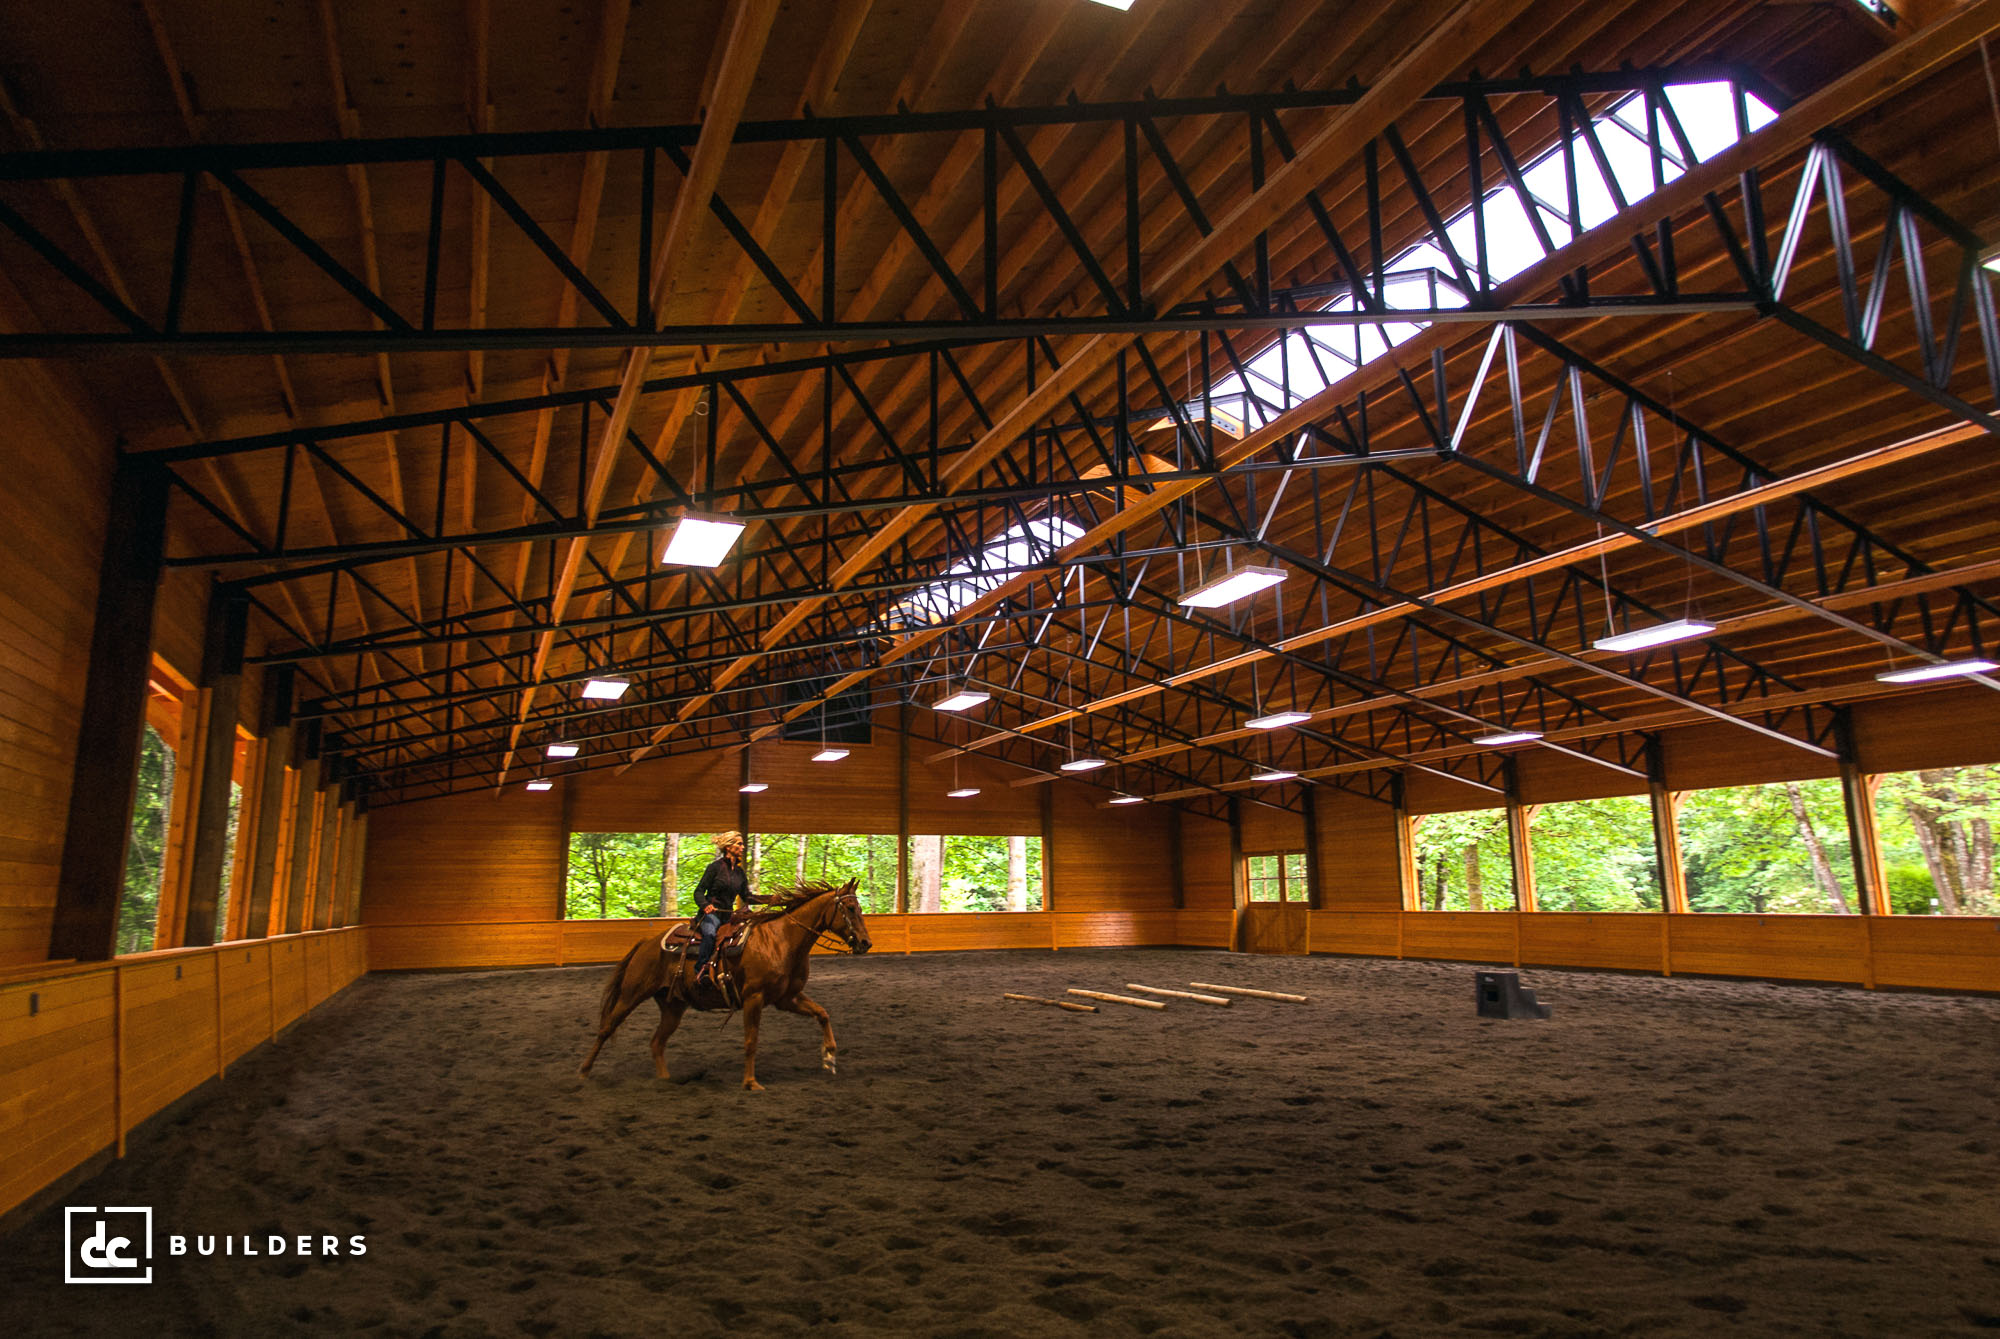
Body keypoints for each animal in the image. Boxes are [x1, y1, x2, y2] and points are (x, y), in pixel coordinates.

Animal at [572, 879, 868, 1087]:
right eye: (850, 908)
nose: (865, 943)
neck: (781, 940)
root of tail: (646, 942)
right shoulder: (754, 998)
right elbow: (751, 1040)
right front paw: (750, 1083)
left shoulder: (788, 998)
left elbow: (822, 1014)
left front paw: (829, 1057)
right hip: (631, 994)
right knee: (606, 1029)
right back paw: (583, 1072)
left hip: (673, 1005)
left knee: (657, 1042)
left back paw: (665, 1080)